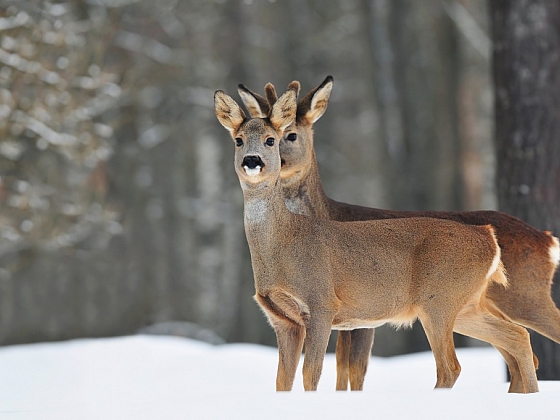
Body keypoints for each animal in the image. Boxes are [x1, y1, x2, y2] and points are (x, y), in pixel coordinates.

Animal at [237, 76, 560, 394]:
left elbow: (353, 370)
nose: (261, 162)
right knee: (519, 344)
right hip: (472, 307)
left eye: (289, 135)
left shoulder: (356, 315)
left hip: (515, 296)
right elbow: (344, 370)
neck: (324, 212)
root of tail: (546, 239)